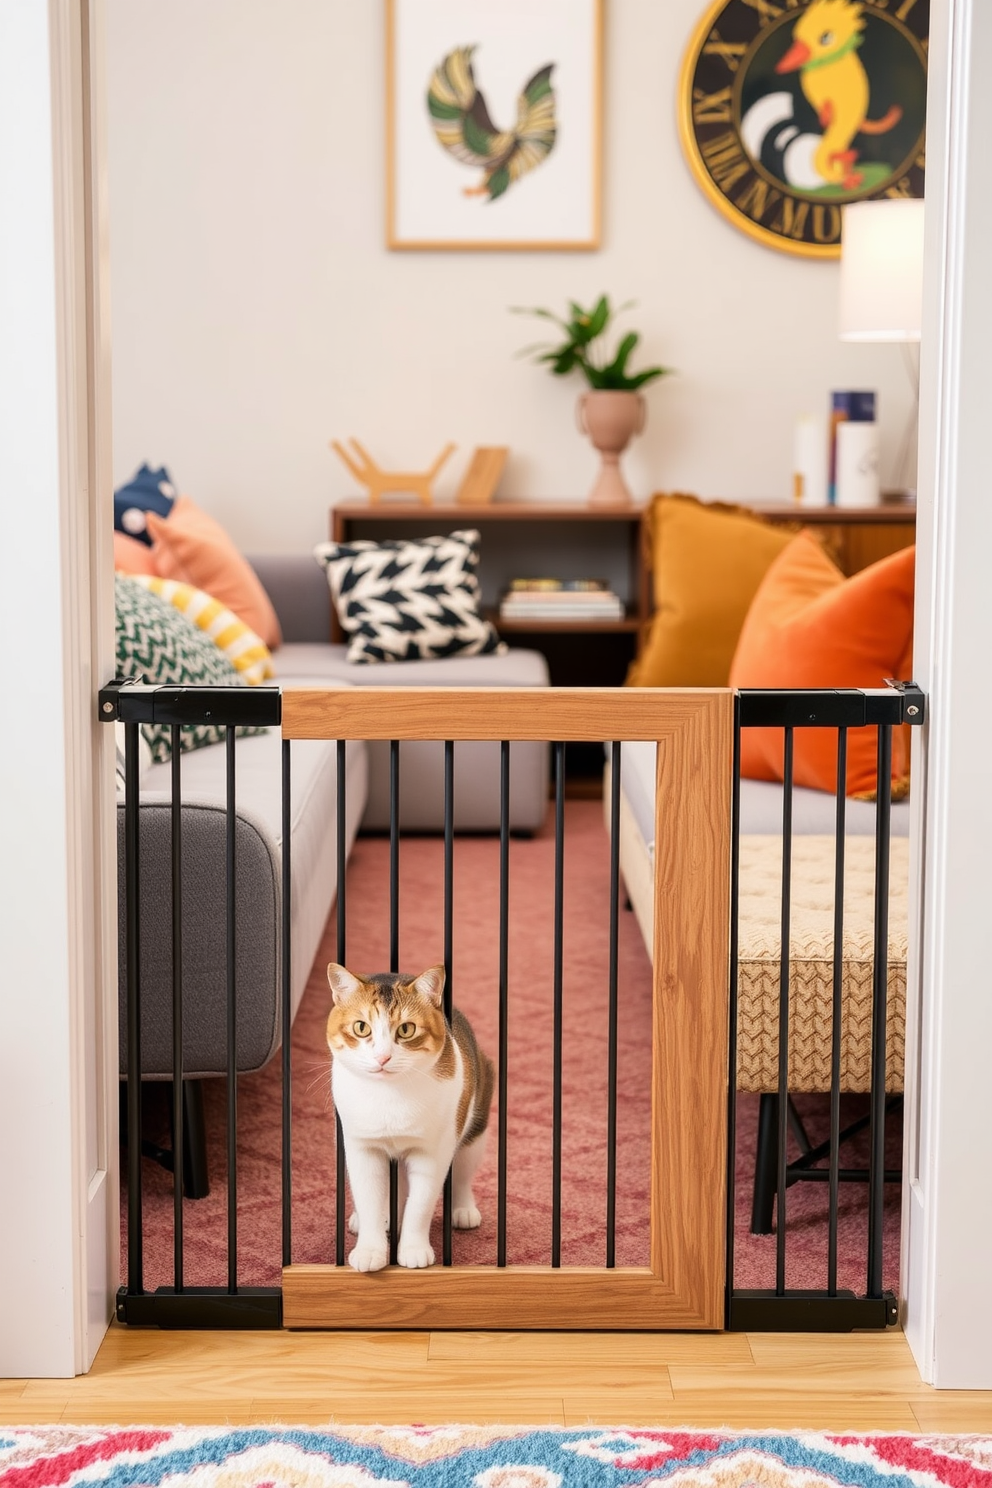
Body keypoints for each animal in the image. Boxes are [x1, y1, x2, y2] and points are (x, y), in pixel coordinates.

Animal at [327, 970, 493, 1273]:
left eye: (406, 1030)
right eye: (361, 1027)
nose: (382, 1057)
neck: (389, 1094)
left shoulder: (431, 1152)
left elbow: (420, 1204)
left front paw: (414, 1250)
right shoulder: (361, 1147)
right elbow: (369, 1197)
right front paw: (370, 1250)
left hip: (475, 1128)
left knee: (462, 1173)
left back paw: (463, 1210)